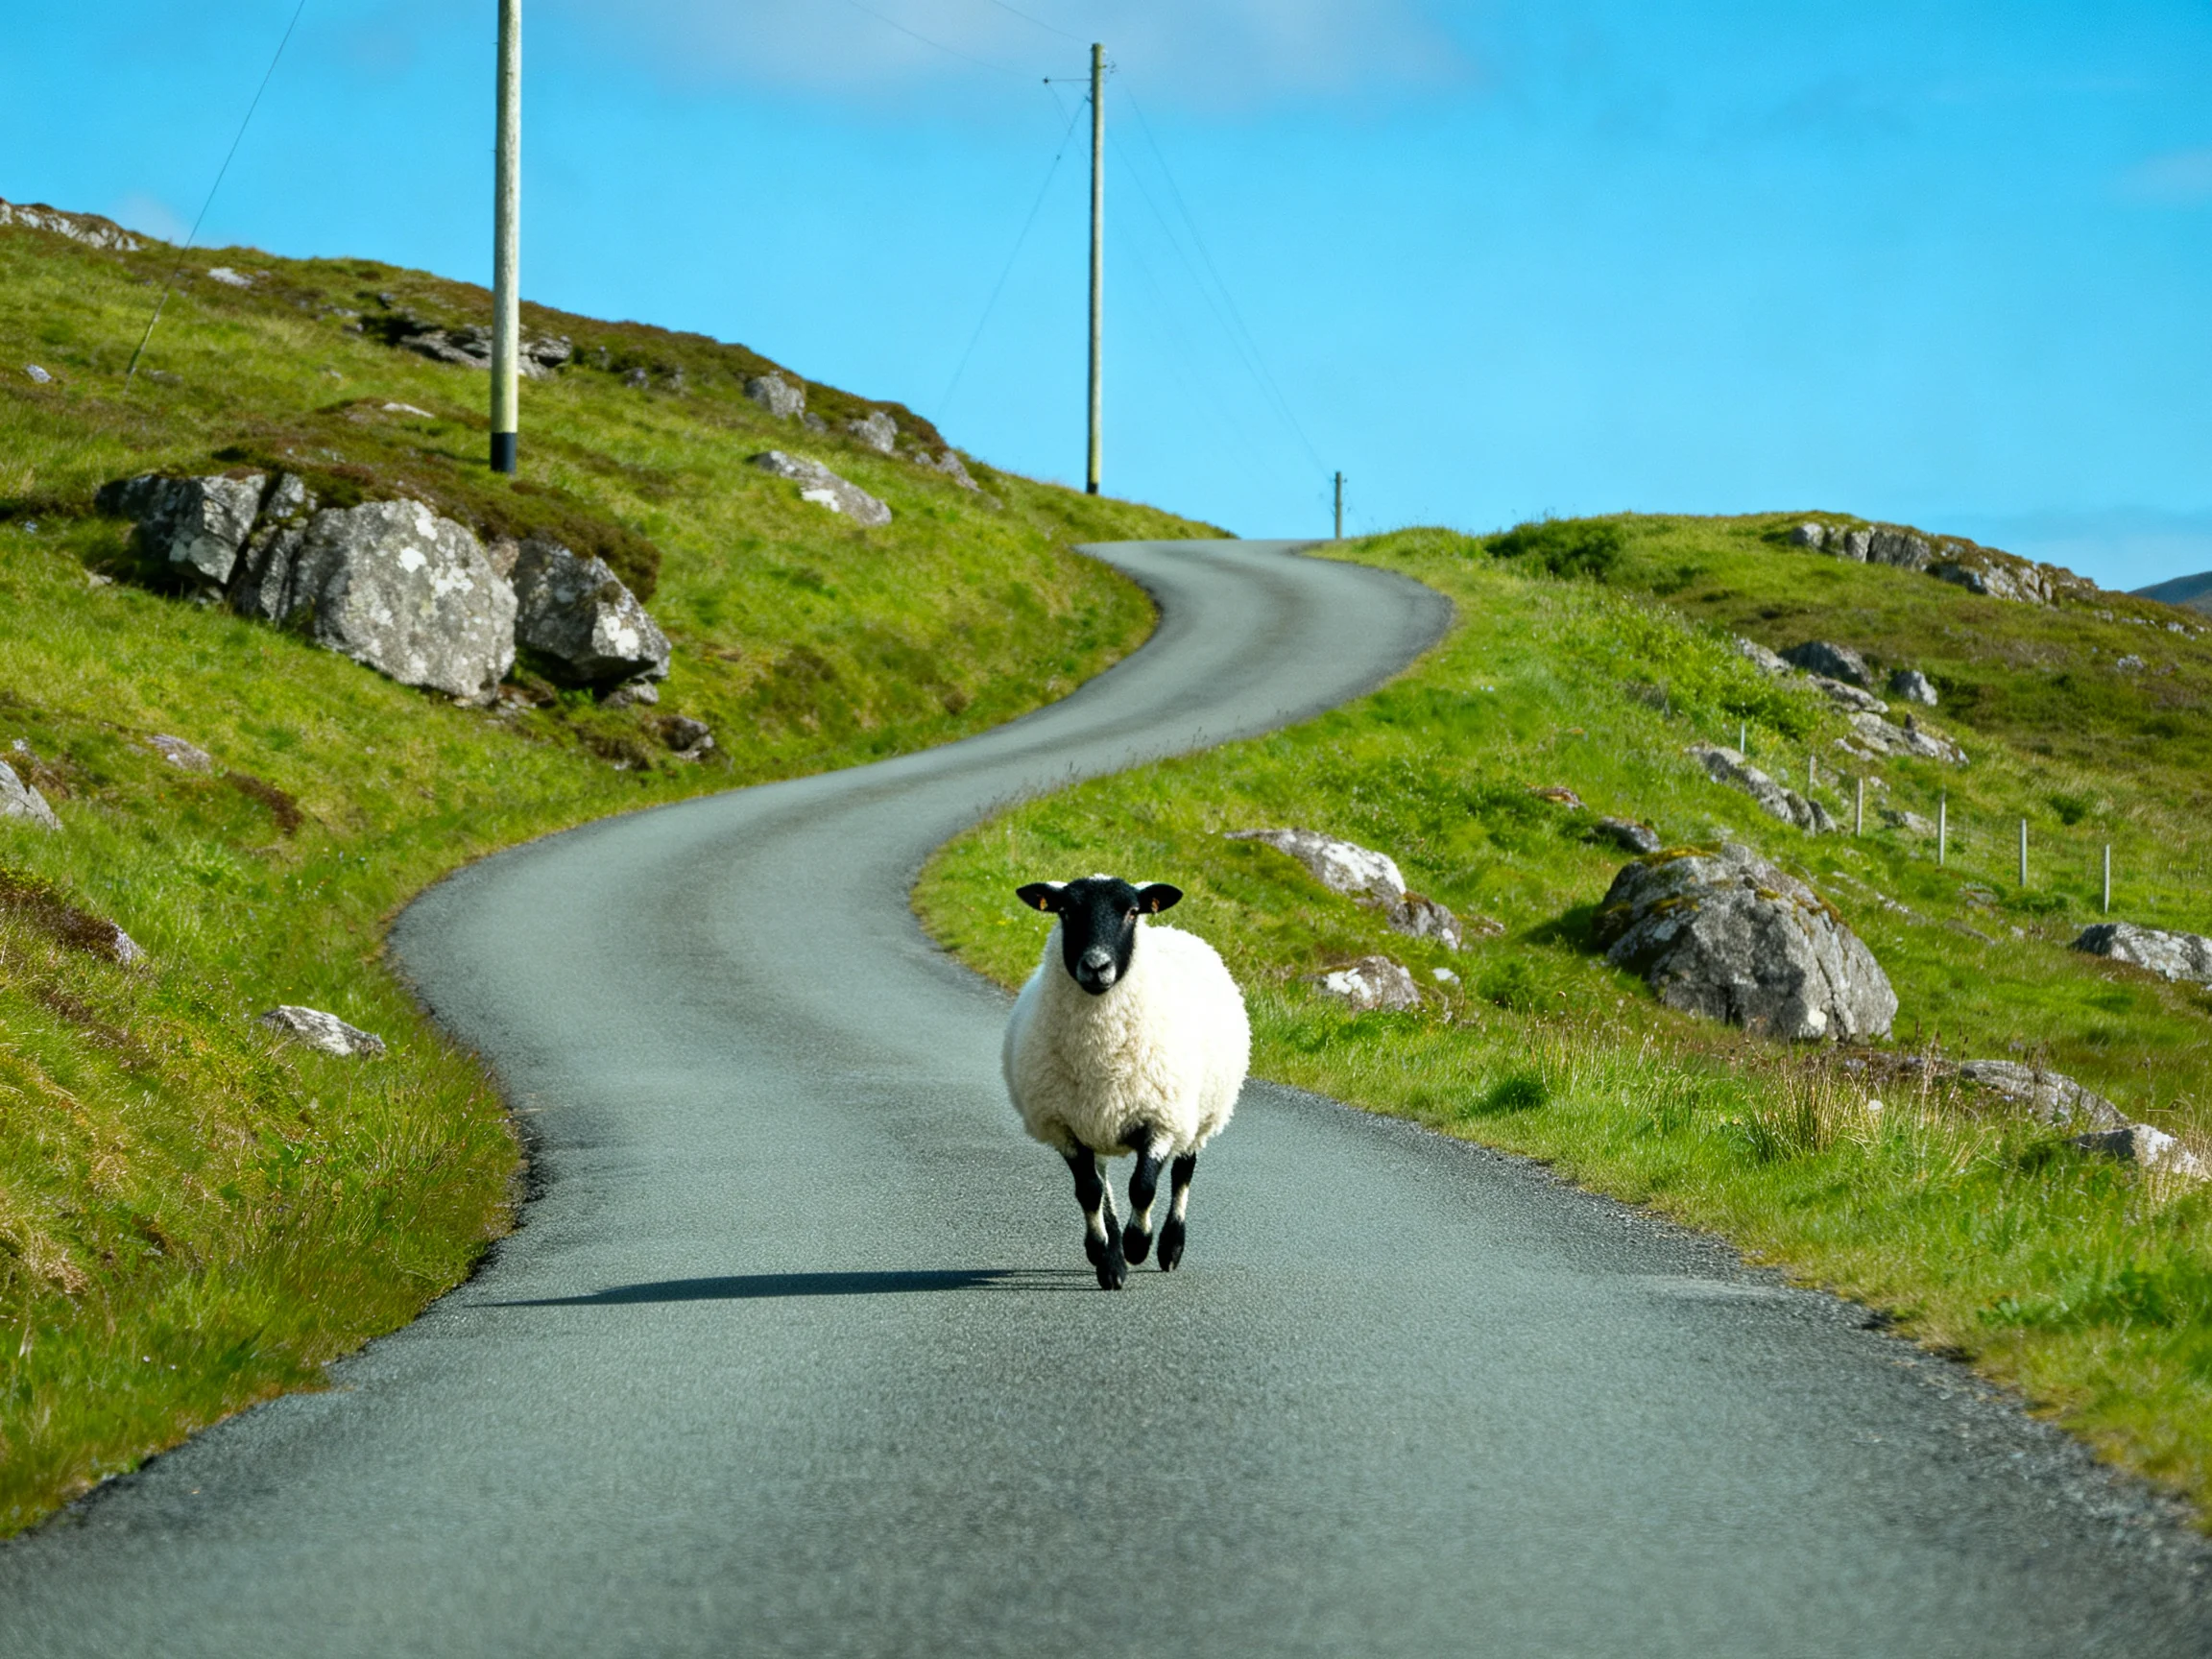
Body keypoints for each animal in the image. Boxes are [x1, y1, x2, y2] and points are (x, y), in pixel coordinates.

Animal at [1002, 874, 1251, 1289]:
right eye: (1065, 911)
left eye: (1132, 912)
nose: (1096, 965)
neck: (1101, 1055)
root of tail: (1174, 930)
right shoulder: (1063, 1126)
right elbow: (1089, 1192)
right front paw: (1107, 1257)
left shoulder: (1161, 1120)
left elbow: (1144, 1187)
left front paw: (1138, 1244)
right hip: (1093, 1121)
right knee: (1103, 1183)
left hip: (1200, 1112)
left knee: (1183, 1171)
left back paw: (1169, 1246)